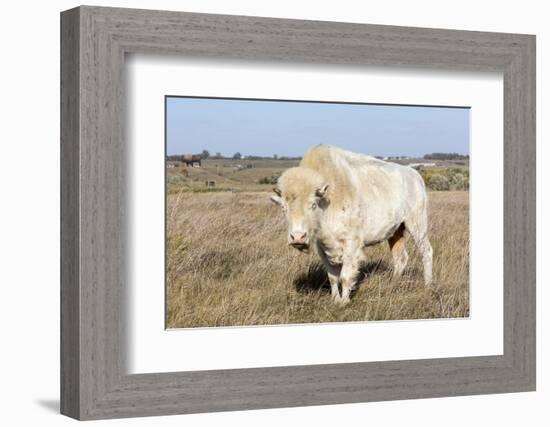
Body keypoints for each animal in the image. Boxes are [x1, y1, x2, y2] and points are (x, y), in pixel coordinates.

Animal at [272, 145, 436, 306]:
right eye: (284, 208)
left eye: (312, 205)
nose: (297, 237)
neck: (328, 199)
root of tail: (415, 176)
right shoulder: (322, 246)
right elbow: (332, 276)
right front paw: (335, 299)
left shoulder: (351, 243)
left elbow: (345, 275)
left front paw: (344, 301)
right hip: (396, 231)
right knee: (400, 257)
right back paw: (392, 284)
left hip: (417, 224)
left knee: (426, 251)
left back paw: (428, 285)